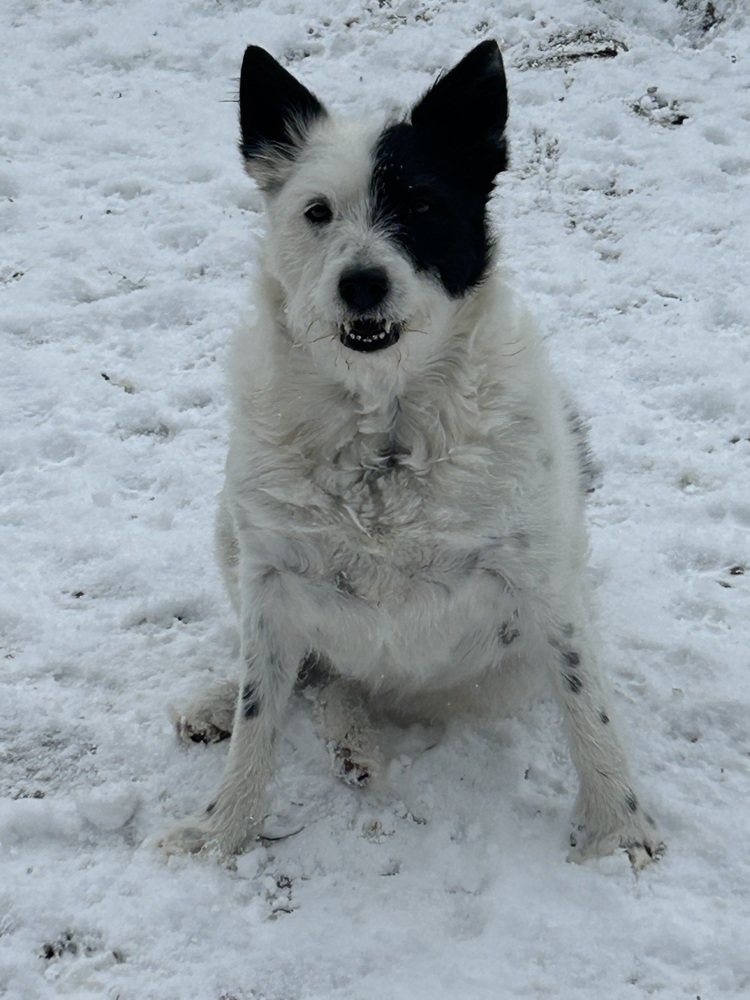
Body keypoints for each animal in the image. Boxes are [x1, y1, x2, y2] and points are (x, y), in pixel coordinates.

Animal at [159, 41, 664, 868]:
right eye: (317, 212)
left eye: (422, 206)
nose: (362, 284)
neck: (385, 427)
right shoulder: (271, 581)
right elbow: (259, 715)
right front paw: (221, 831)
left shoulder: (543, 579)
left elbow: (588, 709)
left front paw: (619, 831)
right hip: (229, 532)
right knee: (310, 675)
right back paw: (234, 708)